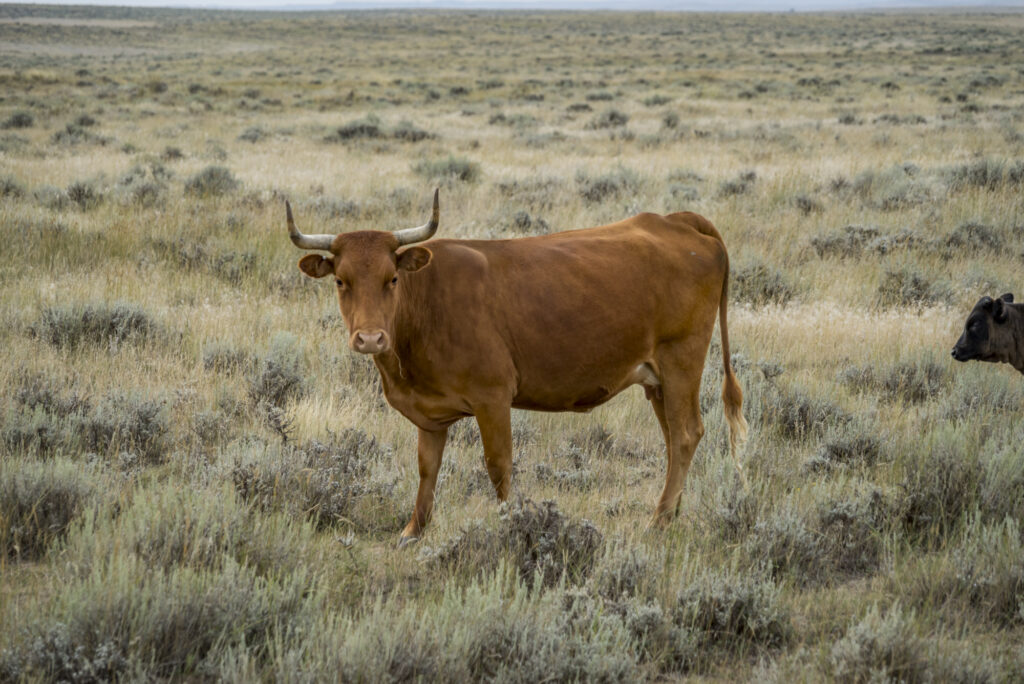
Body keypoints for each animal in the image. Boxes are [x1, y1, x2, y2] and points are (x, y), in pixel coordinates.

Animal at [284, 191, 749, 544]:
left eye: (392, 279)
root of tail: (675, 221)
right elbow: (427, 467)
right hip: (657, 379)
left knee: (686, 434)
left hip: (681, 359)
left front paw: (511, 524)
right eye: (341, 281)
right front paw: (412, 531)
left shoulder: (492, 397)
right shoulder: (430, 414)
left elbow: (499, 465)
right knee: (672, 439)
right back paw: (672, 513)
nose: (370, 339)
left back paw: (658, 520)